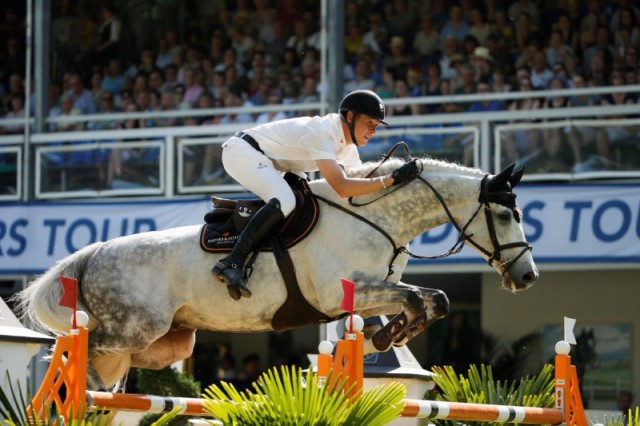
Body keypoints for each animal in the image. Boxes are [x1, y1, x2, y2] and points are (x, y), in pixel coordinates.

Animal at [15, 157, 536, 390]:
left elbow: (431, 299)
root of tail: (93, 252)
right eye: (505, 215)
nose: (528, 277)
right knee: (70, 348)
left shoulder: (371, 290)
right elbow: (415, 297)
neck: (376, 216)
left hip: (160, 342)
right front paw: (388, 336)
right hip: (134, 328)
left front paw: (387, 336)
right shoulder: (342, 293)